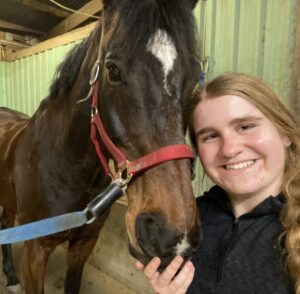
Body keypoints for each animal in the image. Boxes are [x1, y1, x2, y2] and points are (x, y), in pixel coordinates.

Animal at [0, 0, 202, 292]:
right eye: (112, 70)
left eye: (196, 75)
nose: (172, 236)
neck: (65, 168)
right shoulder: (34, 251)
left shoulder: (84, 243)